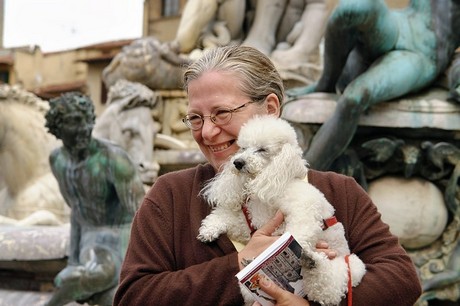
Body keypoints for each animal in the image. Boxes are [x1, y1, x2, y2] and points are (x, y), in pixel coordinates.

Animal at [198, 115, 366, 306]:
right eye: (243, 148)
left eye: (262, 149)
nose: (237, 162)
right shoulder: (253, 221)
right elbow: (232, 220)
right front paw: (209, 230)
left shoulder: (305, 211)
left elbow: (298, 232)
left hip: (349, 266)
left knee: (327, 289)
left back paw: (312, 263)